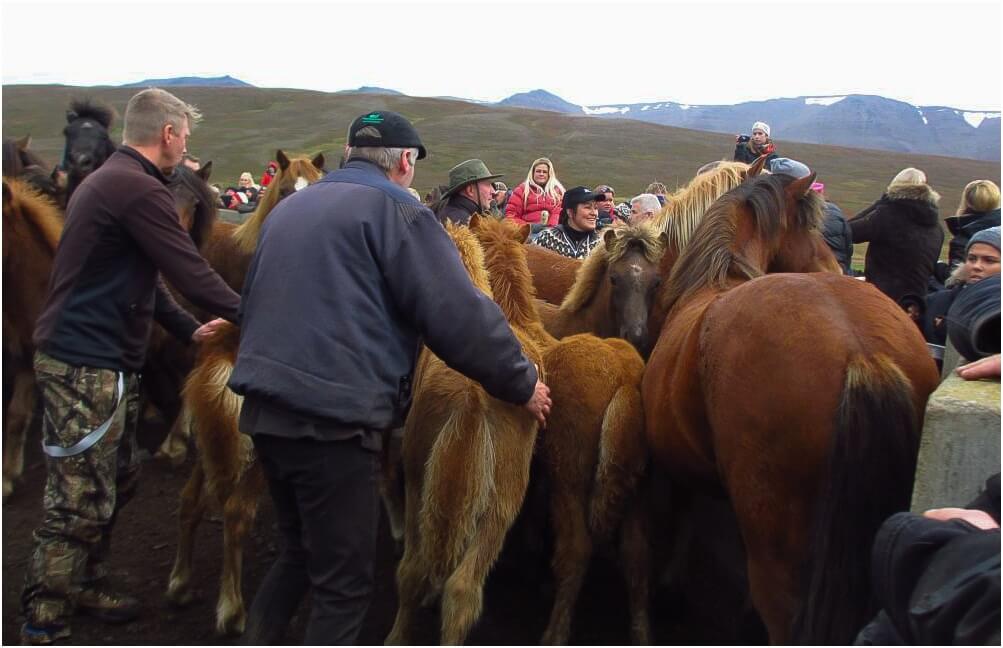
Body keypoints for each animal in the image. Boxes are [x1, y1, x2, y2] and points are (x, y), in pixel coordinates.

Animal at [641, 171, 938, 645]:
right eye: (808, 226)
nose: (836, 268)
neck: (715, 279)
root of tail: (861, 352)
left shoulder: (676, 464)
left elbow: (682, 522)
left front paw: (668, 592)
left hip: (778, 557)